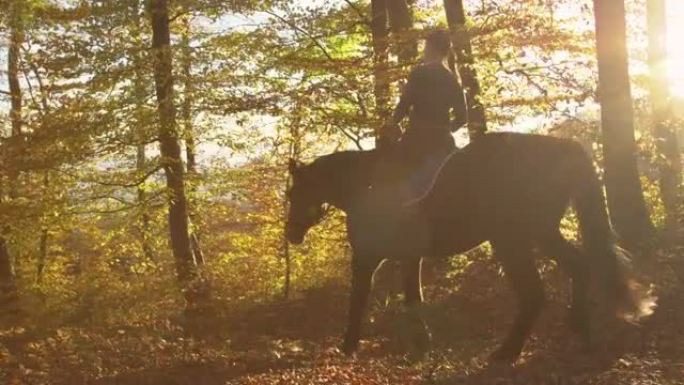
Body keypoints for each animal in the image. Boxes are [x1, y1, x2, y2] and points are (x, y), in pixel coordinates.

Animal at [284, 132, 652, 360]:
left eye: (294, 192)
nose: (291, 234)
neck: (366, 187)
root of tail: (561, 146)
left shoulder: (367, 258)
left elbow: (359, 300)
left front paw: (348, 347)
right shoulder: (409, 258)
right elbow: (413, 299)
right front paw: (422, 346)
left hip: (514, 238)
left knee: (534, 292)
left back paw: (507, 352)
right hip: (541, 233)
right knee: (578, 266)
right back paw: (581, 331)